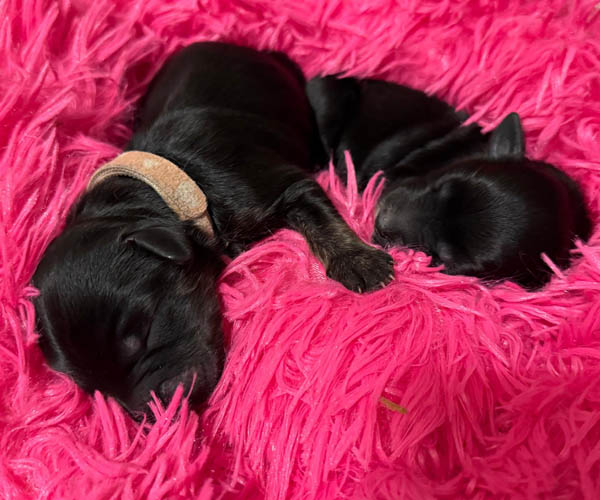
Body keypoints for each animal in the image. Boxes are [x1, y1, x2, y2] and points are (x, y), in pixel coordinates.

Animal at [33, 43, 394, 418]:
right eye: (92, 388)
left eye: (145, 331)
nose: (154, 417)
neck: (173, 181)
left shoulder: (278, 186)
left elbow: (322, 220)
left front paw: (359, 262)